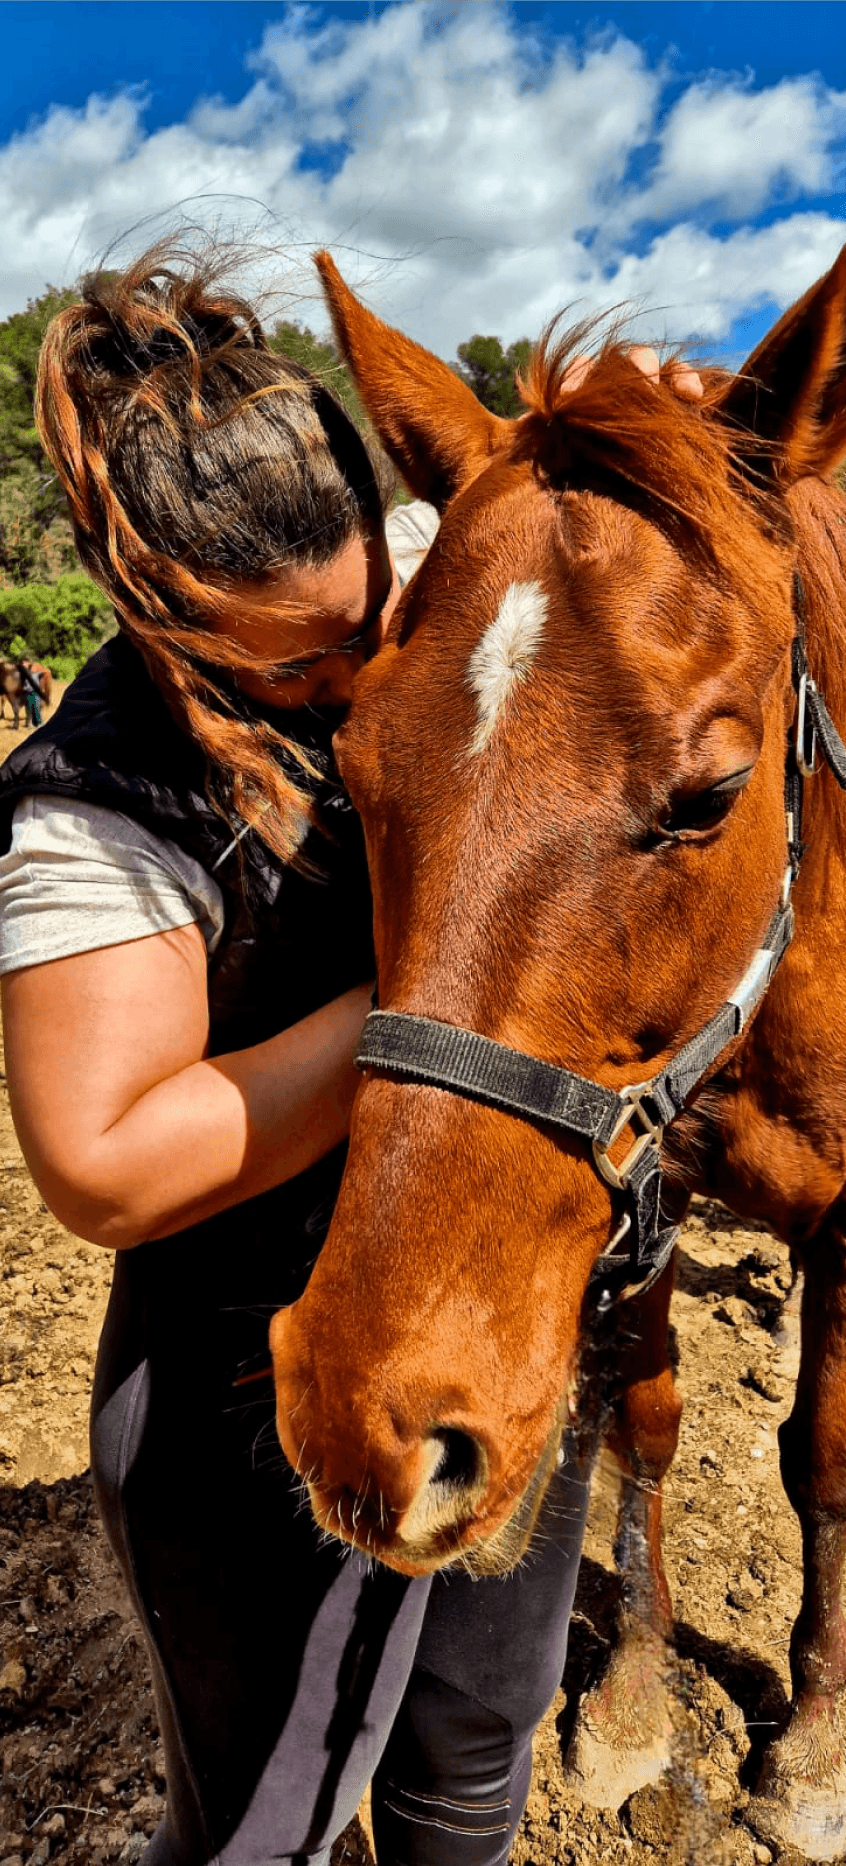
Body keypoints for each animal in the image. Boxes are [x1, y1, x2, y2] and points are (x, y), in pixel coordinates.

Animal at [269, 247, 846, 1861]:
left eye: (710, 793)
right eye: (351, 771)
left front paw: (815, 1741)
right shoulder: (646, 1175)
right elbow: (646, 1416)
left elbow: (827, 1459)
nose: (365, 1419)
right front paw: (635, 1698)